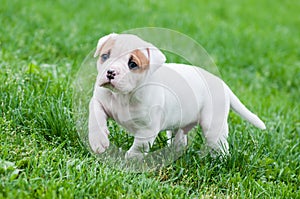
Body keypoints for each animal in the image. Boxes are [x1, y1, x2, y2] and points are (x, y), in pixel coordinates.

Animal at [88, 33, 266, 159]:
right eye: (105, 56)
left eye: (132, 64)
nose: (110, 72)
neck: (123, 96)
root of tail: (221, 83)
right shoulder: (99, 100)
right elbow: (95, 114)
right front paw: (98, 141)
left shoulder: (147, 129)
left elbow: (139, 146)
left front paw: (130, 159)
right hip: (179, 123)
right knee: (180, 140)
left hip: (213, 124)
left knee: (219, 144)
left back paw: (219, 162)